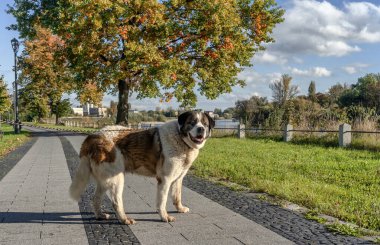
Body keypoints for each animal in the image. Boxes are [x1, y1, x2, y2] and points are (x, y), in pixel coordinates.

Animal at [70, 111, 215, 224]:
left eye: (205, 124)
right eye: (192, 122)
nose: (201, 129)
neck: (180, 138)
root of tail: (94, 136)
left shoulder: (178, 178)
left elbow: (177, 196)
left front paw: (180, 208)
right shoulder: (165, 179)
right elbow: (162, 201)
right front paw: (164, 217)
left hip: (105, 180)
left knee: (96, 199)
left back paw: (100, 215)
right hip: (117, 179)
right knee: (116, 202)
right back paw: (124, 219)